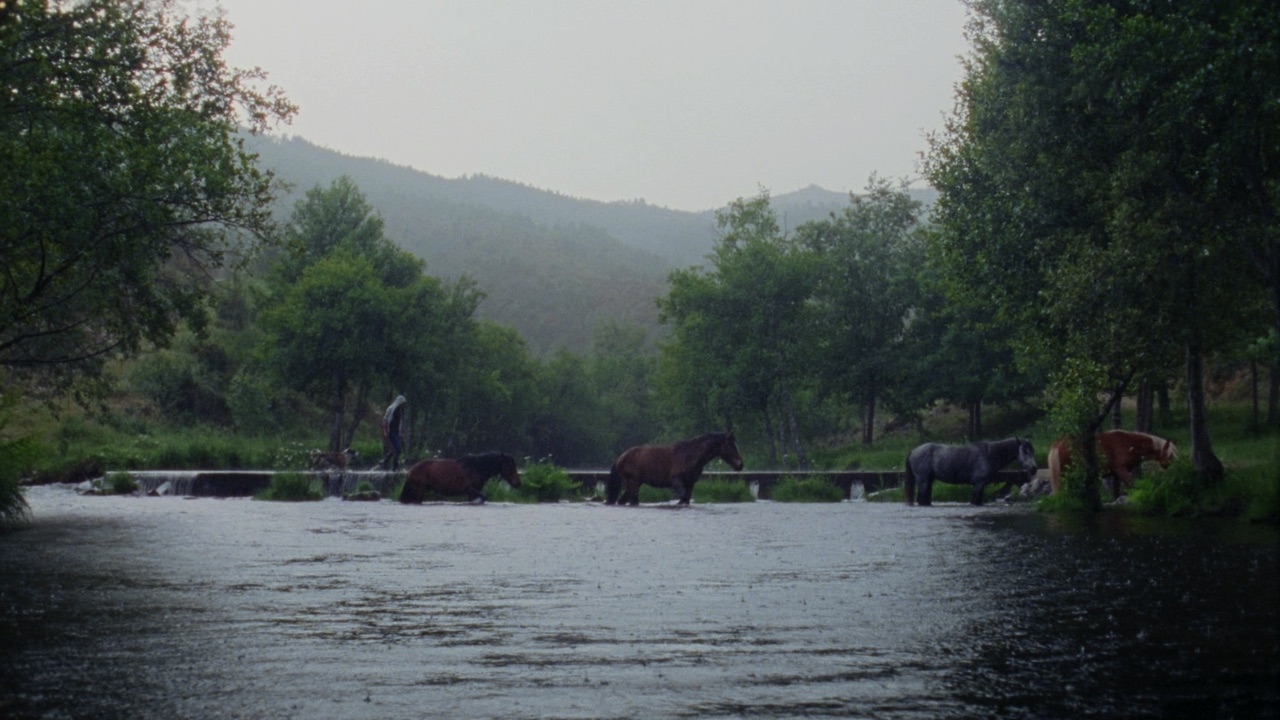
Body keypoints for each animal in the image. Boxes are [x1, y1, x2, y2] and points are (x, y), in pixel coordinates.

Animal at [604, 430, 747, 504]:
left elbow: (687, 498)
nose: (740, 464)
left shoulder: (690, 483)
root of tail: (620, 457)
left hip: (636, 484)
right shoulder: (676, 481)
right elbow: (683, 497)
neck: (690, 455)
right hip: (632, 483)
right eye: (730, 445)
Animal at [901, 435, 1039, 502]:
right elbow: (974, 501)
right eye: (1024, 451)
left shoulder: (981, 486)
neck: (988, 454)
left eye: (1032, 451)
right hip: (923, 481)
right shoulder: (978, 484)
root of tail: (914, 451)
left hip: (929, 481)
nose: (1034, 468)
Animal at [1044, 425, 1172, 499]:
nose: (1170, 467)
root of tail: (1058, 443)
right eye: (1170, 455)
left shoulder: (1116, 474)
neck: (1128, 443)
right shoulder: (1120, 469)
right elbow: (1131, 485)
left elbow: (1116, 492)